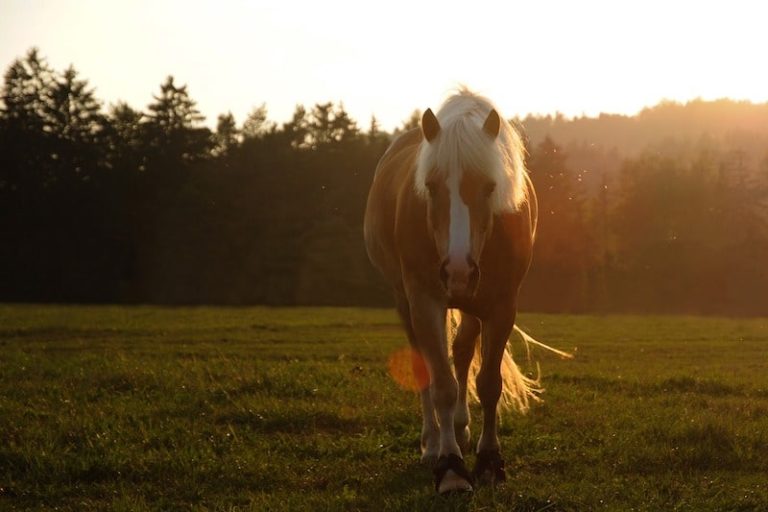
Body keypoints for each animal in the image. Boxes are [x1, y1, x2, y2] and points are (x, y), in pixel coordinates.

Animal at [364, 89, 562, 493]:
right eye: (430, 186)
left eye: (489, 186)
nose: (457, 269)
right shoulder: (425, 302)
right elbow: (440, 383)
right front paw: (451, 467)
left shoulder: (501, 306)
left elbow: (488, 383)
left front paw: (489, 460)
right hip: (404, 300)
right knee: (424, 365)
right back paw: (432, 442)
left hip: (471, 302)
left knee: (462, 350)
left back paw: (458, 427)